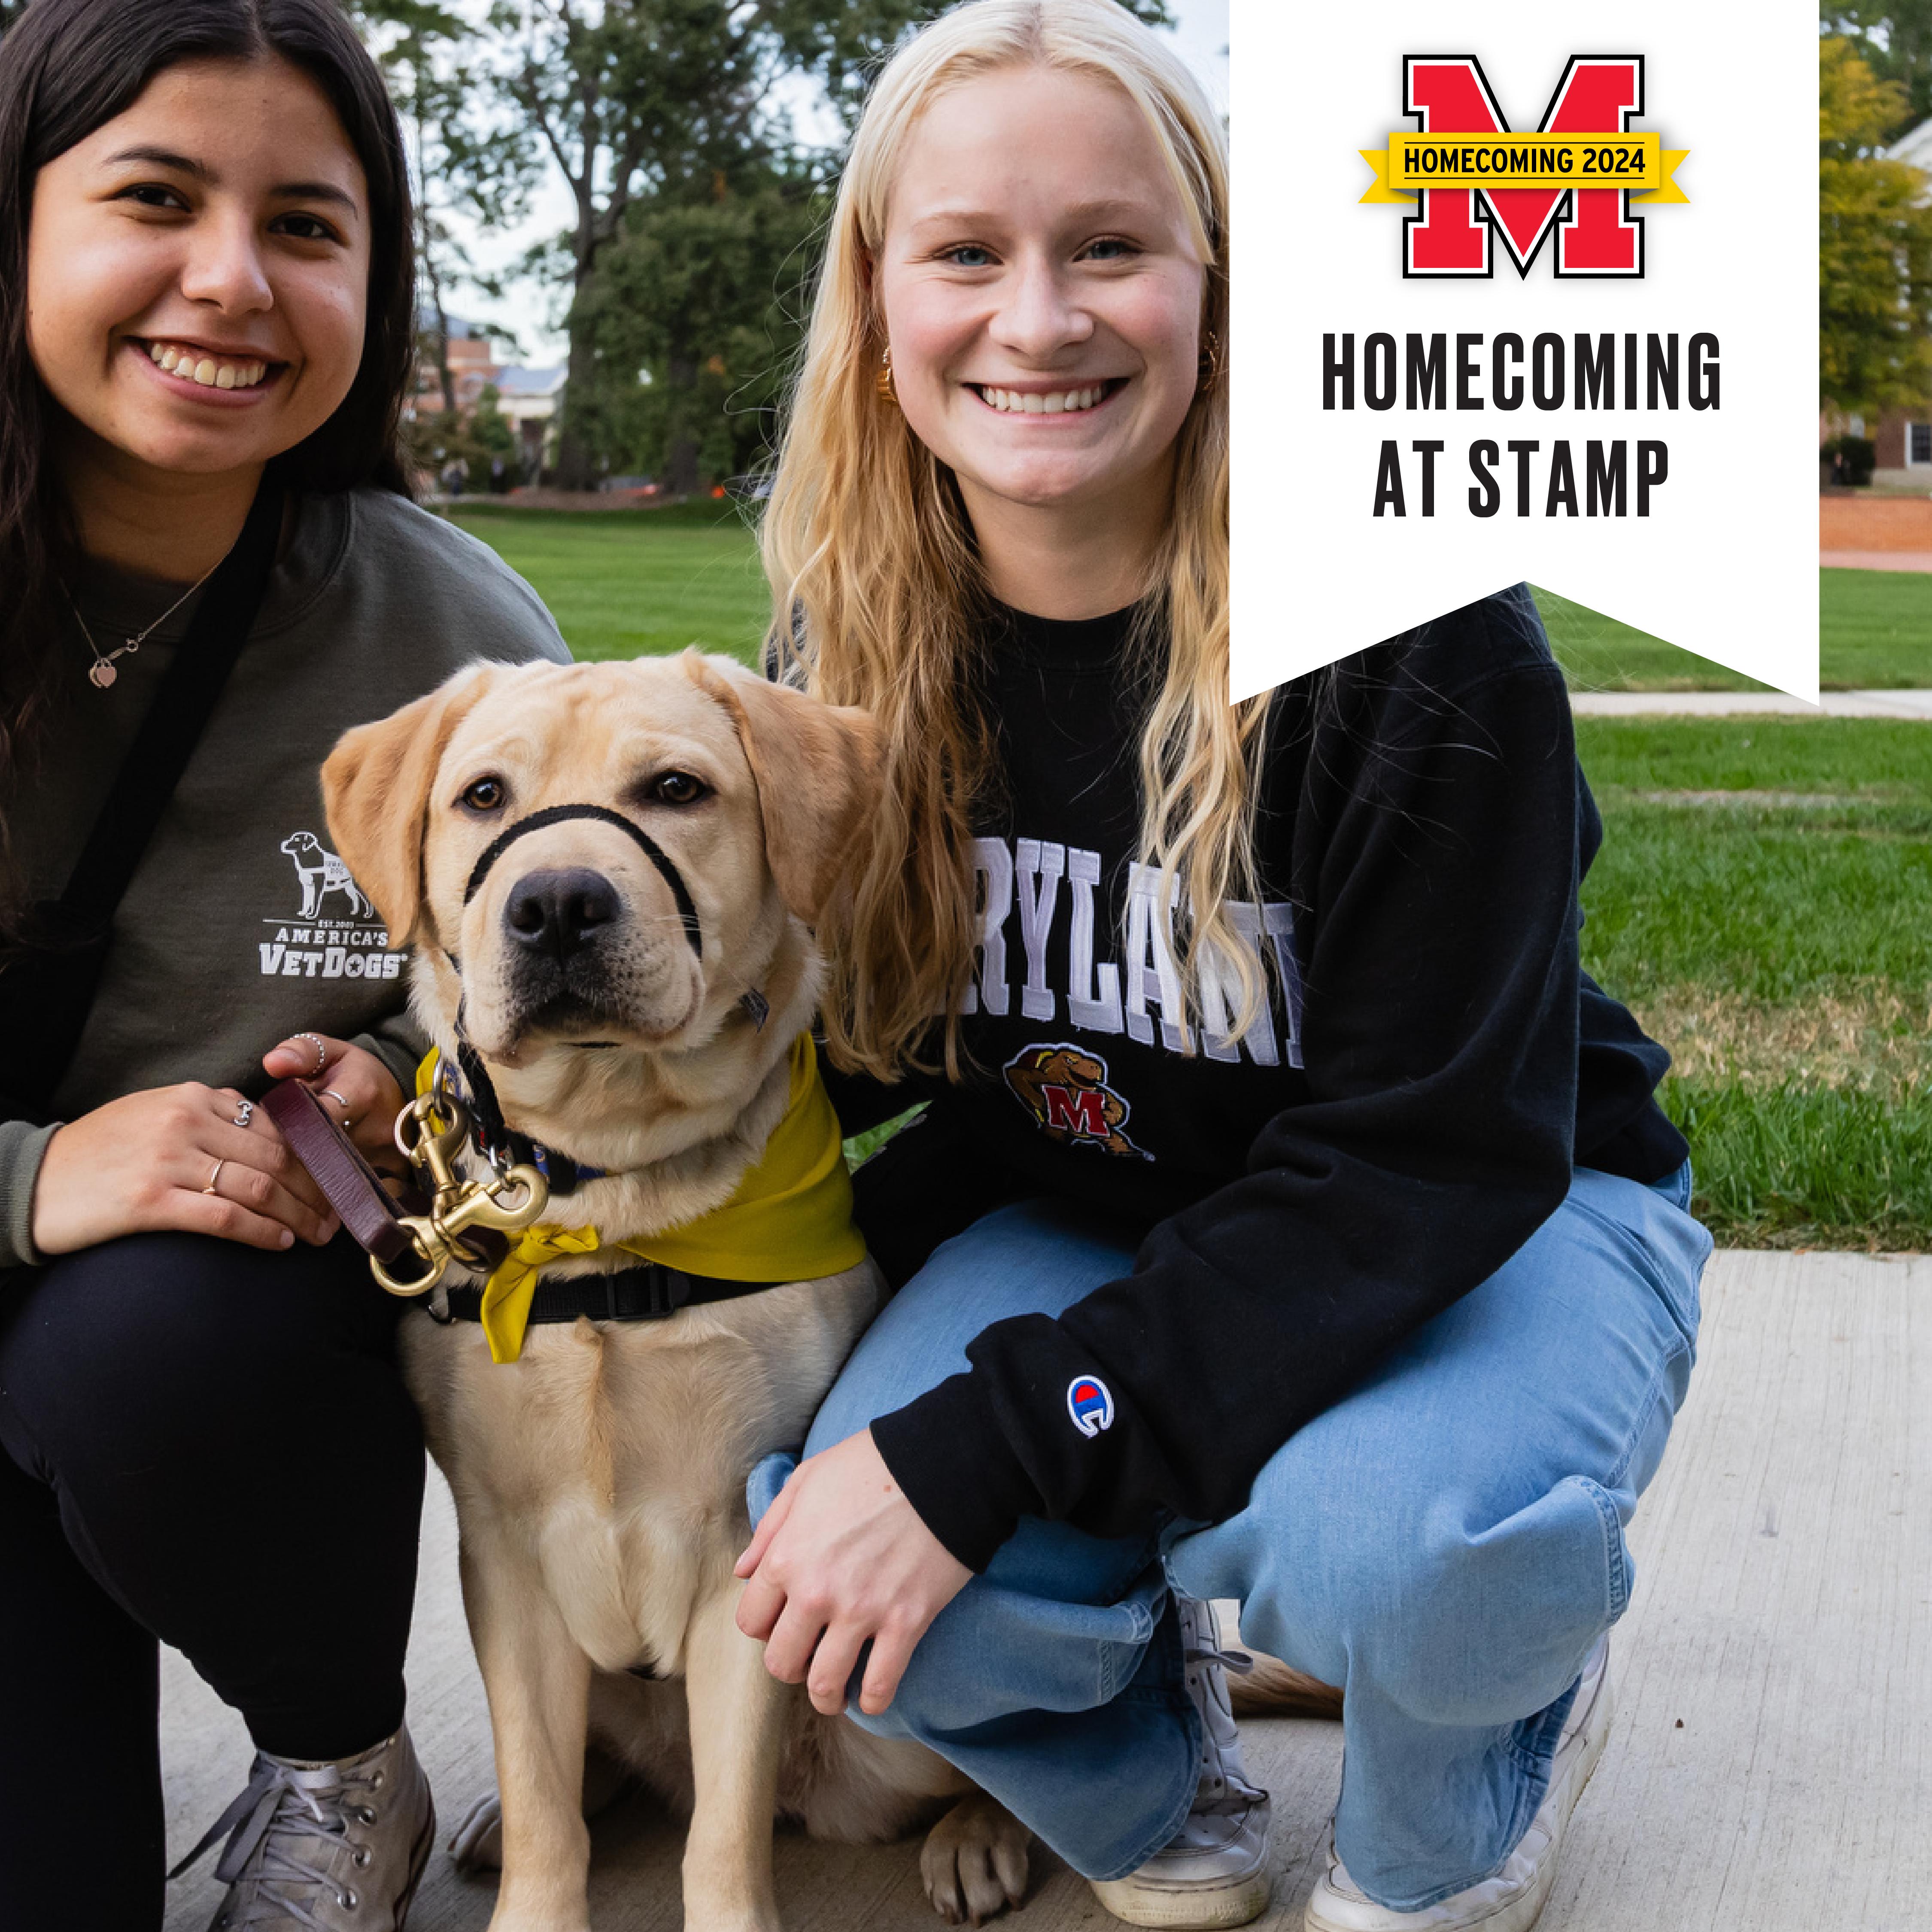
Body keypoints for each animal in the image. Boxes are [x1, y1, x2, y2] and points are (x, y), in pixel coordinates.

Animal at [325, 661, 1036, 1932]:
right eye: (481, 795)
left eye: (675, 788)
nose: (556, 902)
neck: (605, 1197)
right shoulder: (501, 1557)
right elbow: (544, 1795)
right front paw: (535, 1885)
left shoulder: (753, 1552)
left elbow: (723, 1828)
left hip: (880, 1700)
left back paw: (981, 1835)